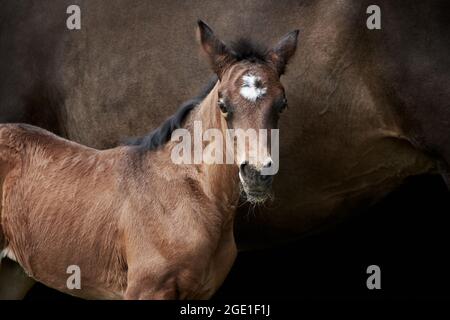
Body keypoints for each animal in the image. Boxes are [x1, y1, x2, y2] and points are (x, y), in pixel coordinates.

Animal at [0, 21, 298, 298]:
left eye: (282, 104)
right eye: (223, 105)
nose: (257, 174)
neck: (192, 193)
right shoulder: (147, 289)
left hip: (13, 274)